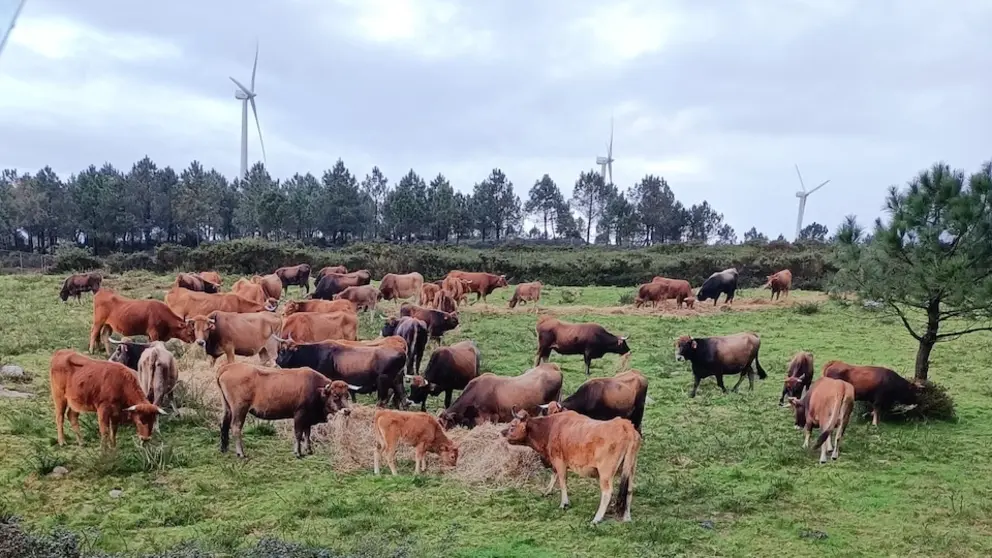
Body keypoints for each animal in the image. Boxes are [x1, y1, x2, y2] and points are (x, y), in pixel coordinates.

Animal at [216, 362, 353, 458]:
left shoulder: (307, 419)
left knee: (224, 425)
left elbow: (307, 434)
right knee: (236, 427)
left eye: (347, 395)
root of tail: (228, 367)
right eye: (335, 396)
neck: (316, 389)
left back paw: (224, 449)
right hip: (240, 409)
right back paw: (241, 453)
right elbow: (298, 434)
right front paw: (298, 452)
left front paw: (309, 450)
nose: (347, 411)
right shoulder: (299, 416)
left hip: (228, 408)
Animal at [275, 338, 407, 408]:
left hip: (383, 381)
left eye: (282, 351)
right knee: (403, 398)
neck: (317, 353)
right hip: (397, 381)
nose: (277, 360)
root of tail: (401, 352)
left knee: (382, 402)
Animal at [502, 408, 640, 524]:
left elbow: (562, 481)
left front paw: (564, 503)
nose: (502, 432)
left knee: (607, 492)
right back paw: (627, 517)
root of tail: (625, 425)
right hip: (630, 469)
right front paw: (547, 491)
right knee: (629, 490)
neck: (551, 427)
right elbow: (554, 475)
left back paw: (597, 518)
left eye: (512, 425)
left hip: (606, 472)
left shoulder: (559, 460)